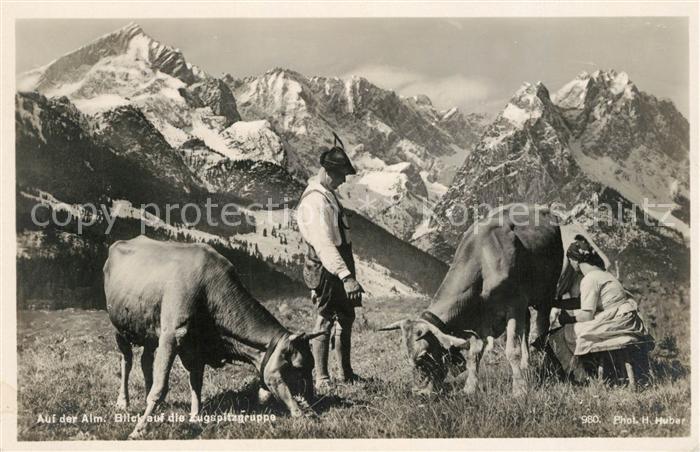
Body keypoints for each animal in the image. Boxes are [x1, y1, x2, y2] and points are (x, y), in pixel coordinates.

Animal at [104, 236, 325, 439]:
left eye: (312, 366)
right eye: (296, 368)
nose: (311, 412)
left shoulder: (196, 345)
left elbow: (196, 382)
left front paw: (195, 418)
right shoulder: (171, 335)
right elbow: (160, 388)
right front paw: (139, 429)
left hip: (148, 329)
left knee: (145, 360)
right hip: (118, 327)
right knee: (126, 361)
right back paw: (123, 402)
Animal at [380, 204, 563, 396]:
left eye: (423, 355)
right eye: (407, 355)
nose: (419, 392)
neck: (482, 259)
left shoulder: (514, 304)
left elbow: (512, 351)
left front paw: (519, 389)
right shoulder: (479, 319)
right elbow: (474, 354)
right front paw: (469, 388)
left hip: (547, 291)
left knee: (541, 325)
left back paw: (545, 362)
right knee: (526, 324)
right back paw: (526, 365)